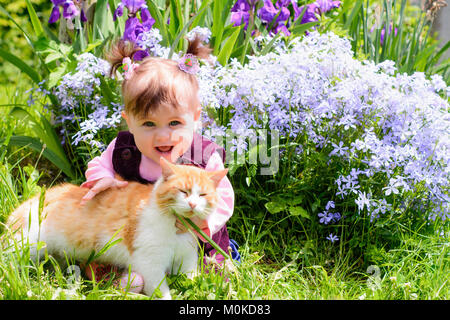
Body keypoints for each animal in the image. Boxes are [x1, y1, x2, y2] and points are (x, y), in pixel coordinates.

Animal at [7, 159, 229, 298]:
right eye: (183, 191)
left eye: (202, 195)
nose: (192, 204)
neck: (175, 228)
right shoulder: (149, 263)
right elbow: (161, 291)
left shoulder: (187, 260)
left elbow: (192, 280)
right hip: (26, 245)